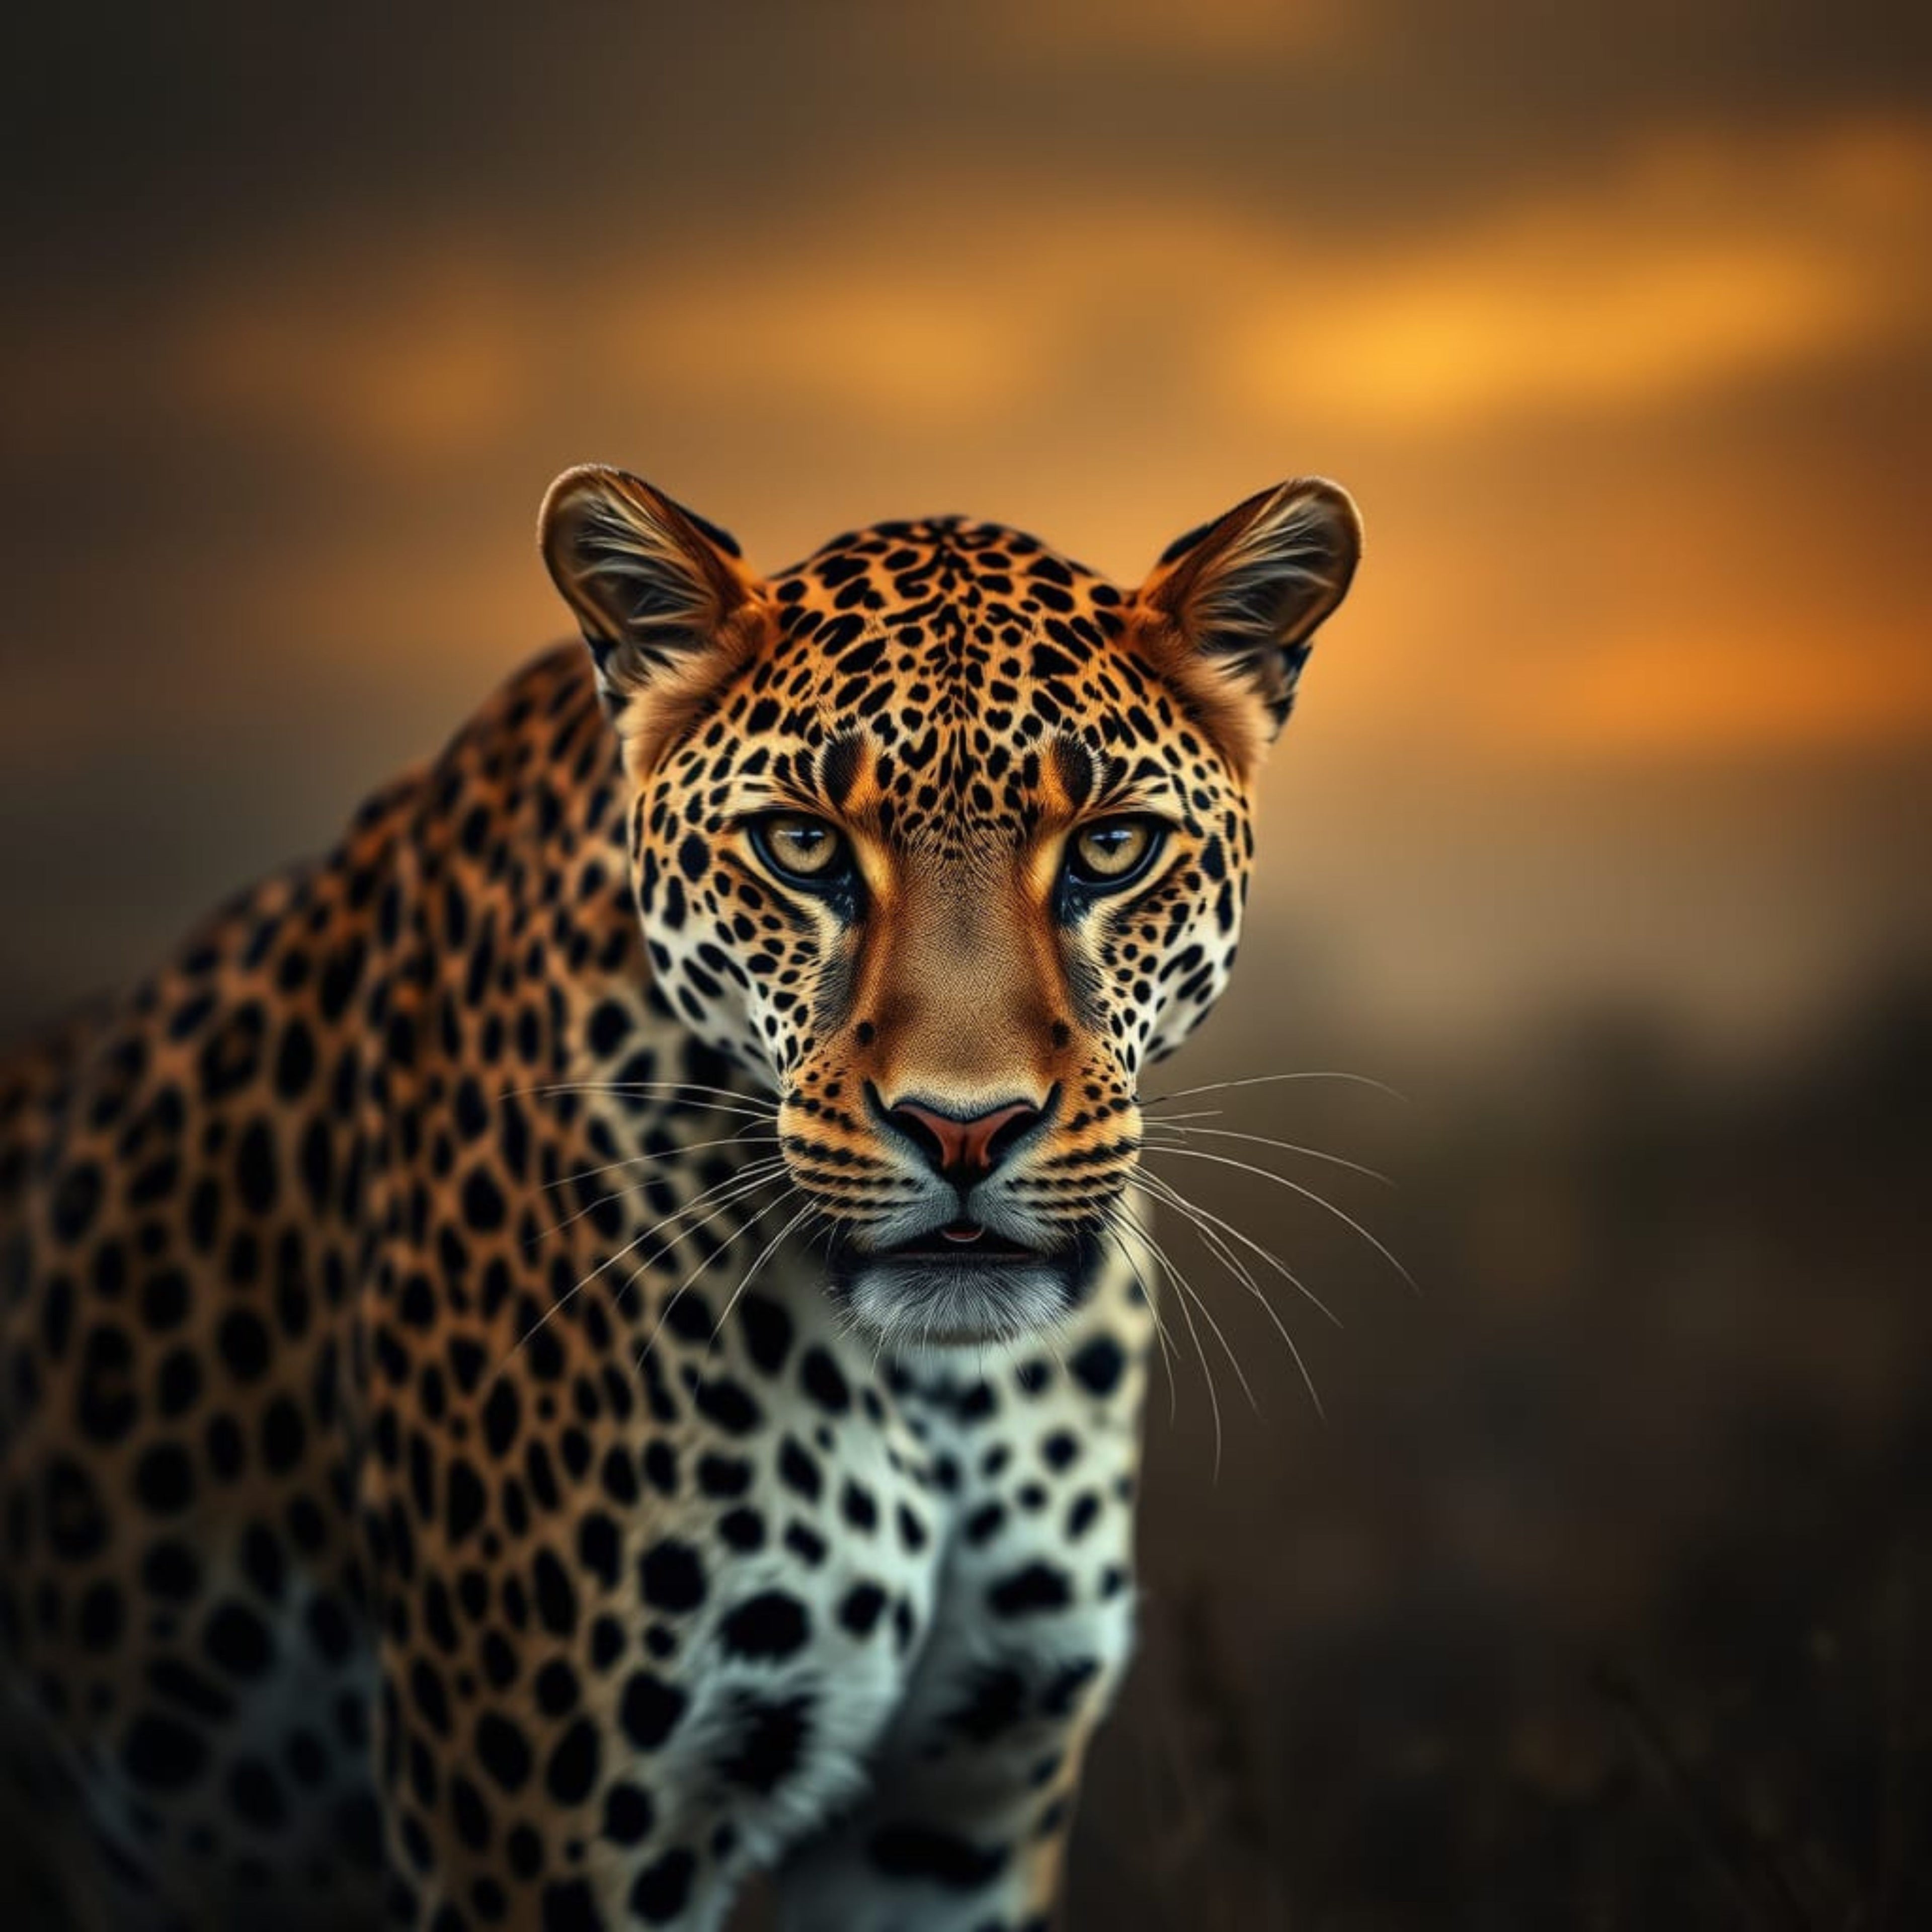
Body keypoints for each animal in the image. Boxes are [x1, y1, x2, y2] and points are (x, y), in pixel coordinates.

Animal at [0, 463, 1361, 1931]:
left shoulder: (957, 1814)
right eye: (801, 846)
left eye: (1110, 848)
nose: (964, 1125)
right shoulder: (539, 1840)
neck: (938, 1391)